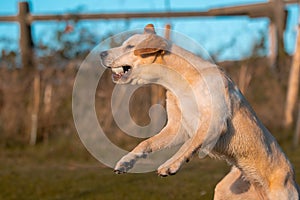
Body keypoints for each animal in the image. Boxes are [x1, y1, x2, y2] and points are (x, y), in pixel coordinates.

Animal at [100, 24, 298, 199]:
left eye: (130, 46)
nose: (101, 53)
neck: (182, 79)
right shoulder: (176, 128)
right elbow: (145, 143)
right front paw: (126, 161)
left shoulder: (213, 123)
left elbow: (190, 144)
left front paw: (171, 164)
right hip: (224, 191)